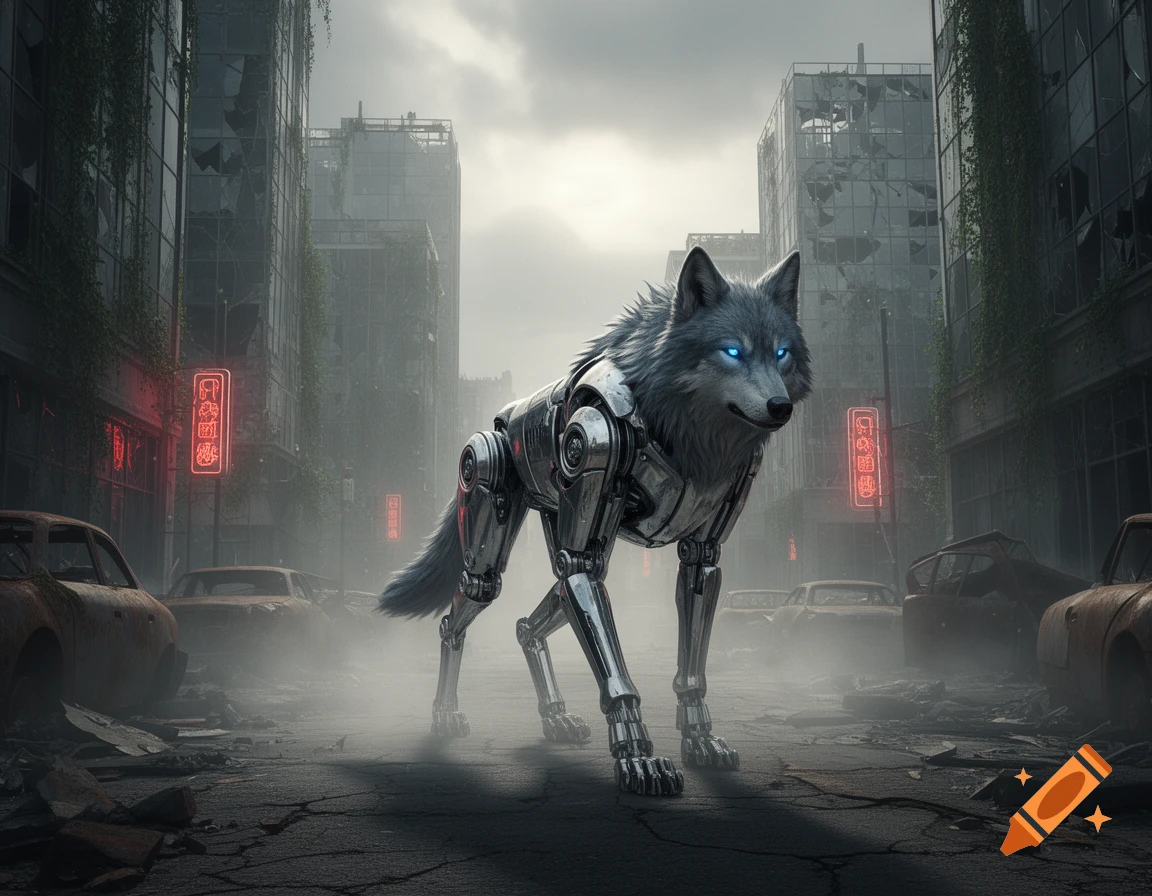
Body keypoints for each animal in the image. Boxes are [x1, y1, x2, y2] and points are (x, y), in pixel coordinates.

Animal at [378, 246, 811, 795]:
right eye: (731, 351)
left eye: (782, 353)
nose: (780, 408)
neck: (680, 429)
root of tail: (504, 415)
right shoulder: (600, 445)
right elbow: (614, 668)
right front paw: (637, 757)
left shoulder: (701, 555)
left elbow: (691, 662)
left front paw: (698, 740)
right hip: (490, 526)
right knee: (468, 606)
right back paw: (445, 715)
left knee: (531, 622)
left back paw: (555, 715)